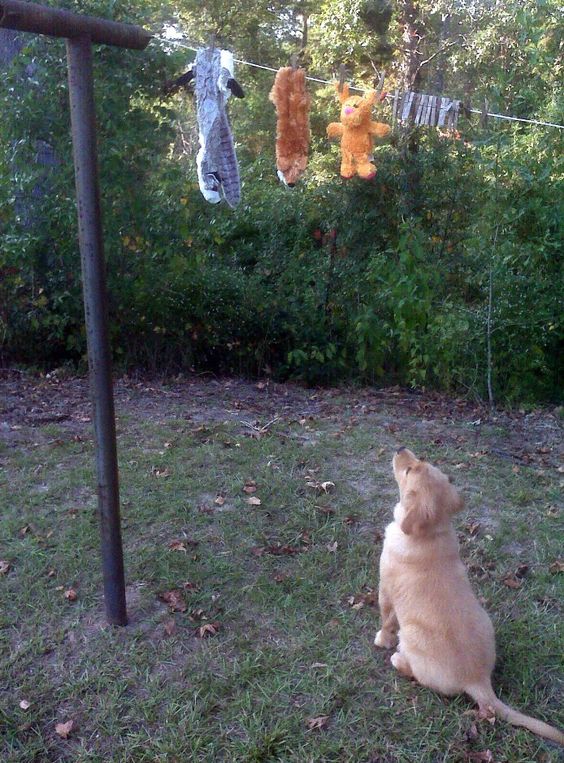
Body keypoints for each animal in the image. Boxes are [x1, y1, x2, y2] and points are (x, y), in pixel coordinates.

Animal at [374, 448, 564, 748]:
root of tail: (478, 680)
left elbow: (386, 619)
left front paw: (381, 639)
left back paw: (398, 660)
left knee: (416, 673)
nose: (400, 448)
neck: (431, 532)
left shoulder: (385, 588)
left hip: (411, 635)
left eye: (409, 470)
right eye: (417, 463)